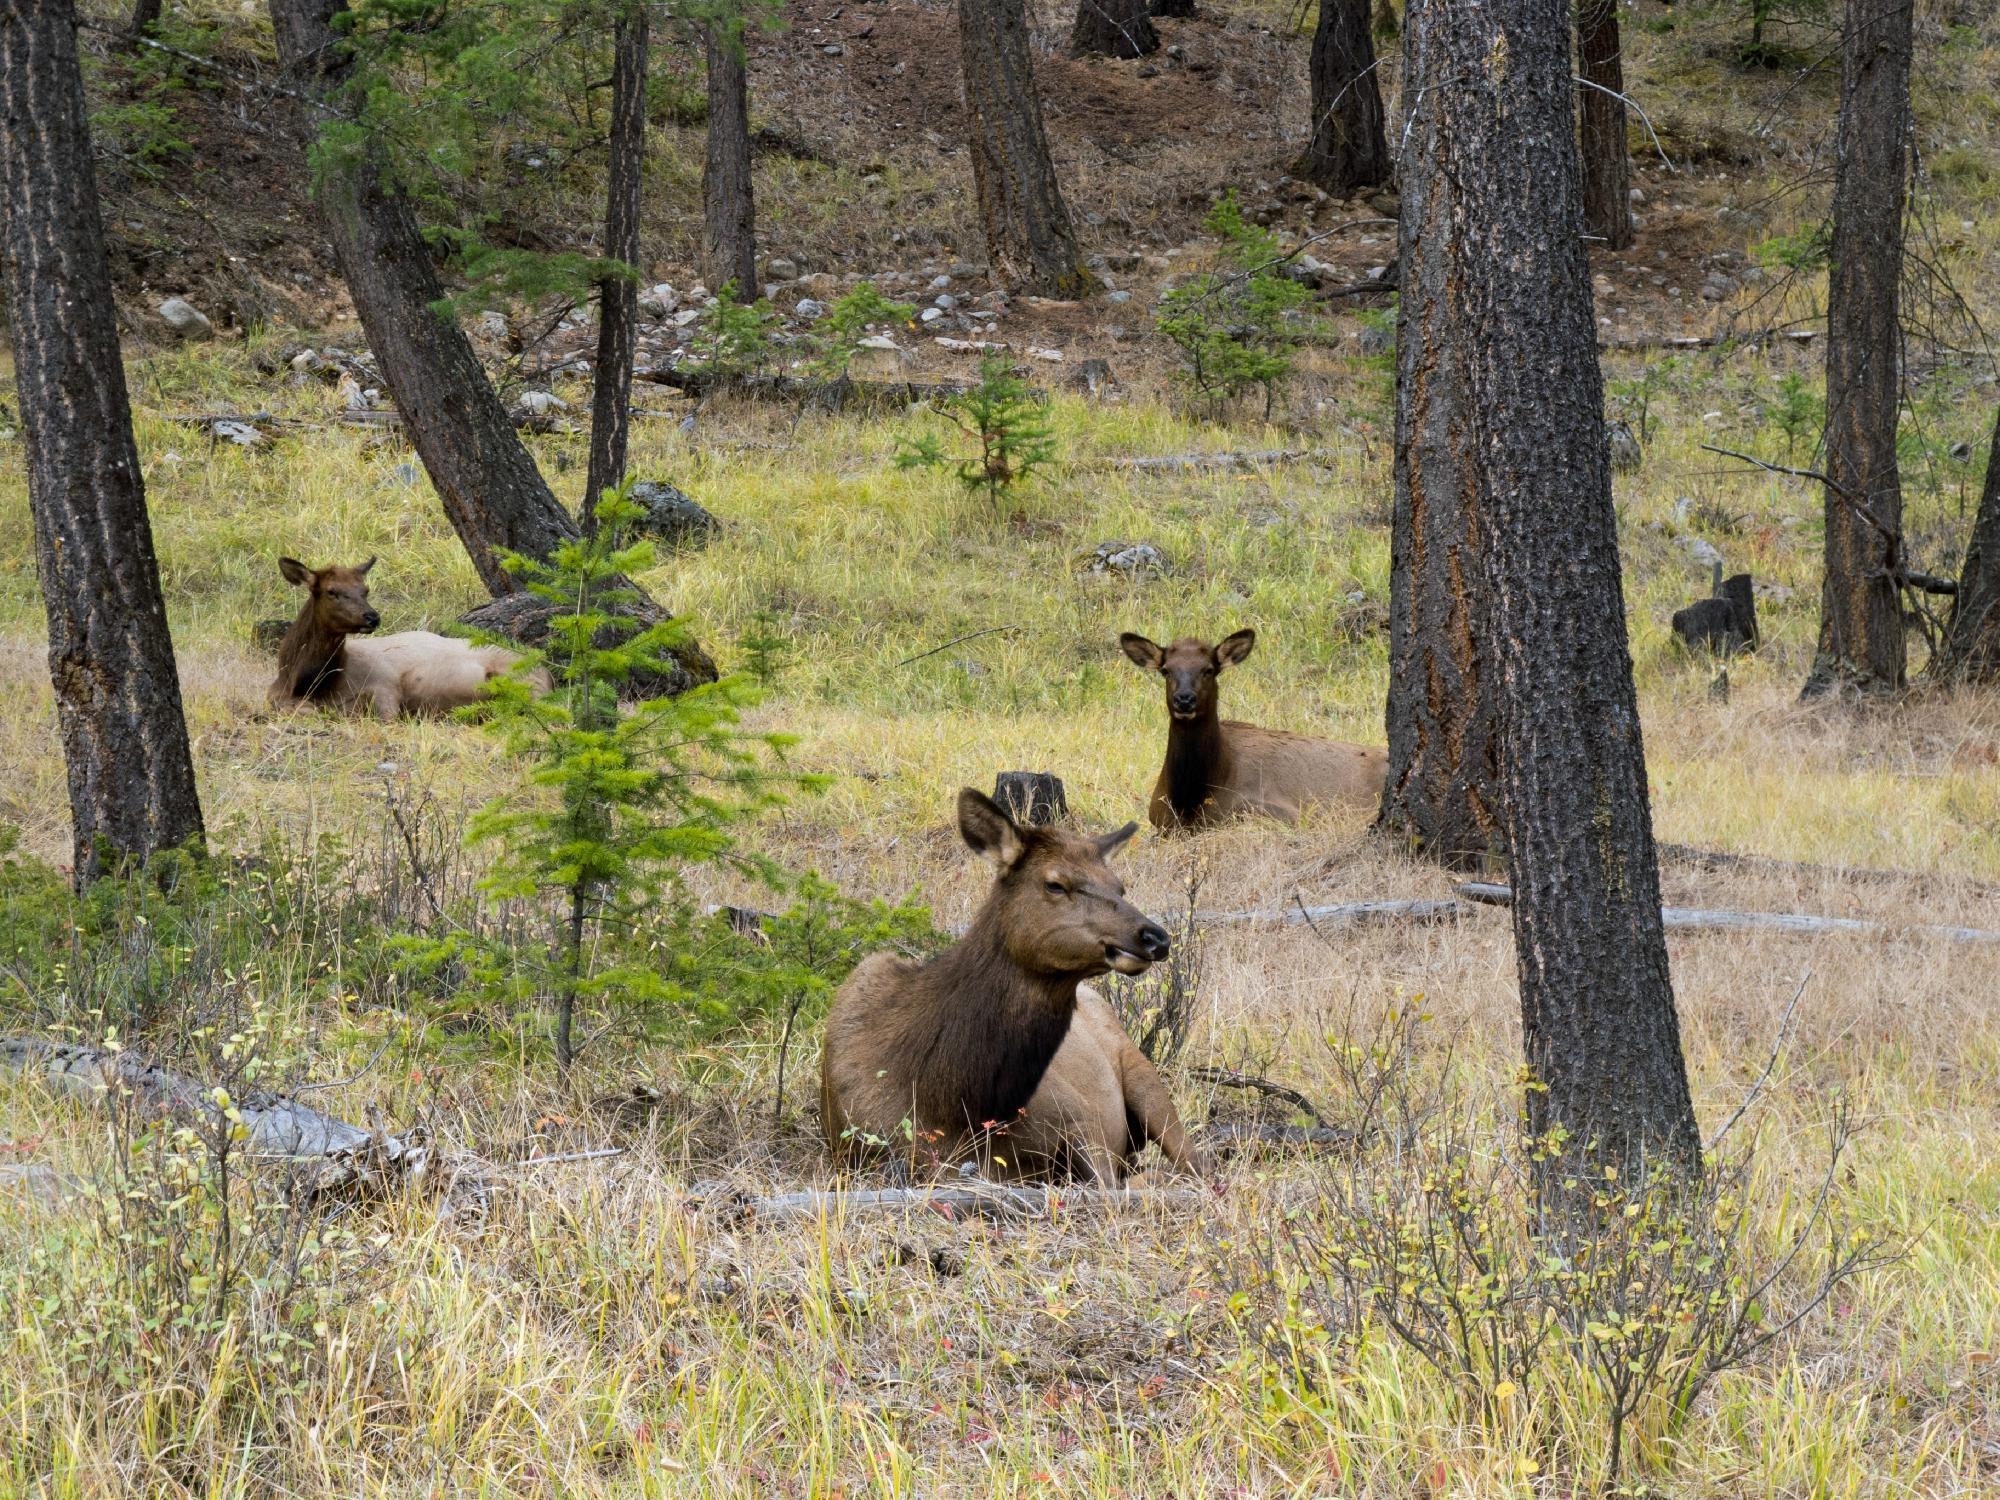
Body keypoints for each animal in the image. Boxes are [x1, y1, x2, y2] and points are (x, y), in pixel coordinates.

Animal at [272, 560, 548, 724]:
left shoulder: (386, 687)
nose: (372, 617)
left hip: (527, 685)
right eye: (332, 591)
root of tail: (548, 672)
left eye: (365, 590)